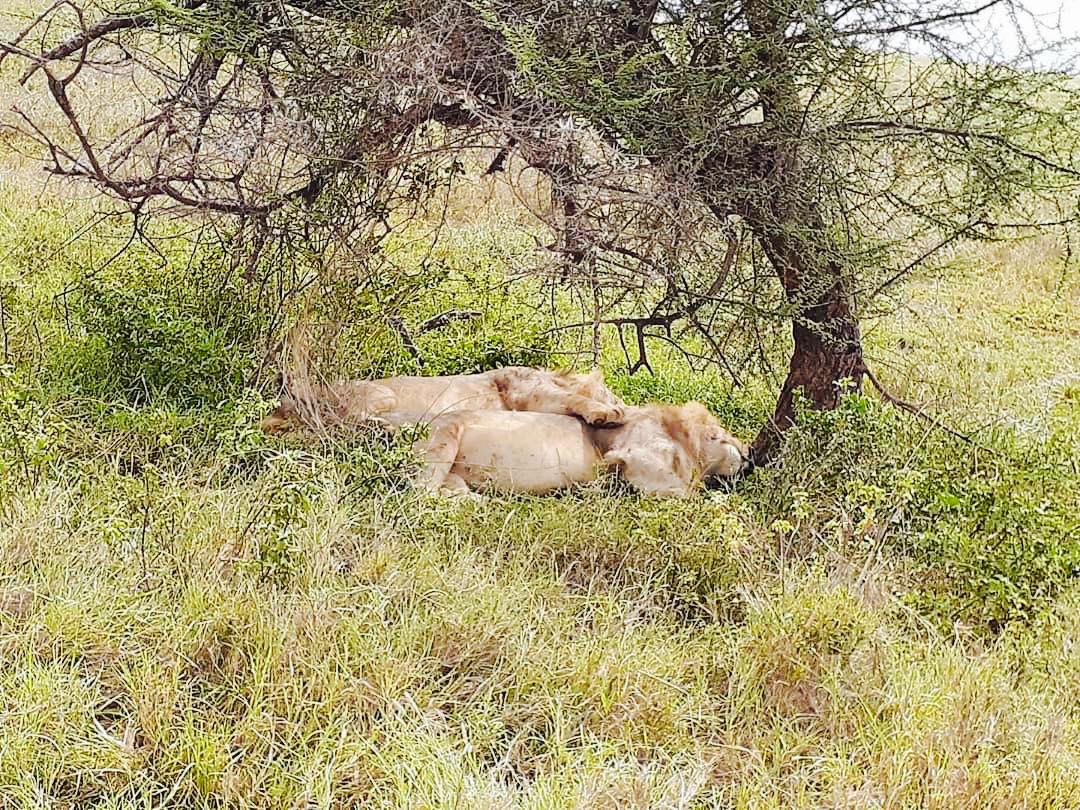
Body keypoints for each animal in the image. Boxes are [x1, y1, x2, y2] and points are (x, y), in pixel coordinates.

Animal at [414, 401, 753, 497]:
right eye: (721, 436)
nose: (748, 454)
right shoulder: (635, 456)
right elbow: (684, 491)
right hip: (444, 438)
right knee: (422, 493)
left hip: (456, 475)